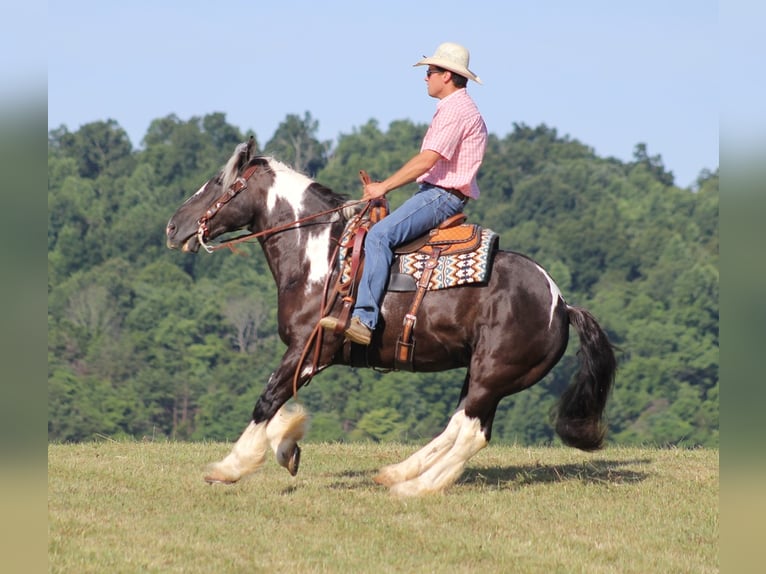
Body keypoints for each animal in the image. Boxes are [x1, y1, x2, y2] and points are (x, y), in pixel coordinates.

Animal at [168, 142, 616, 498]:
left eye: (218, 182)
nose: (173, 227)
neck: (321, 256)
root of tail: (561, 304)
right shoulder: (305, 353)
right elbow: (277, 399)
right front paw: (288, 447)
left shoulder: (310, 349)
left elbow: (267, 399)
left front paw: (230, 466)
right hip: (483, 375)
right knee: (464, 427)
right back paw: (399, 473)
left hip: (493, 374)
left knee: (470, 432)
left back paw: (415, 486)